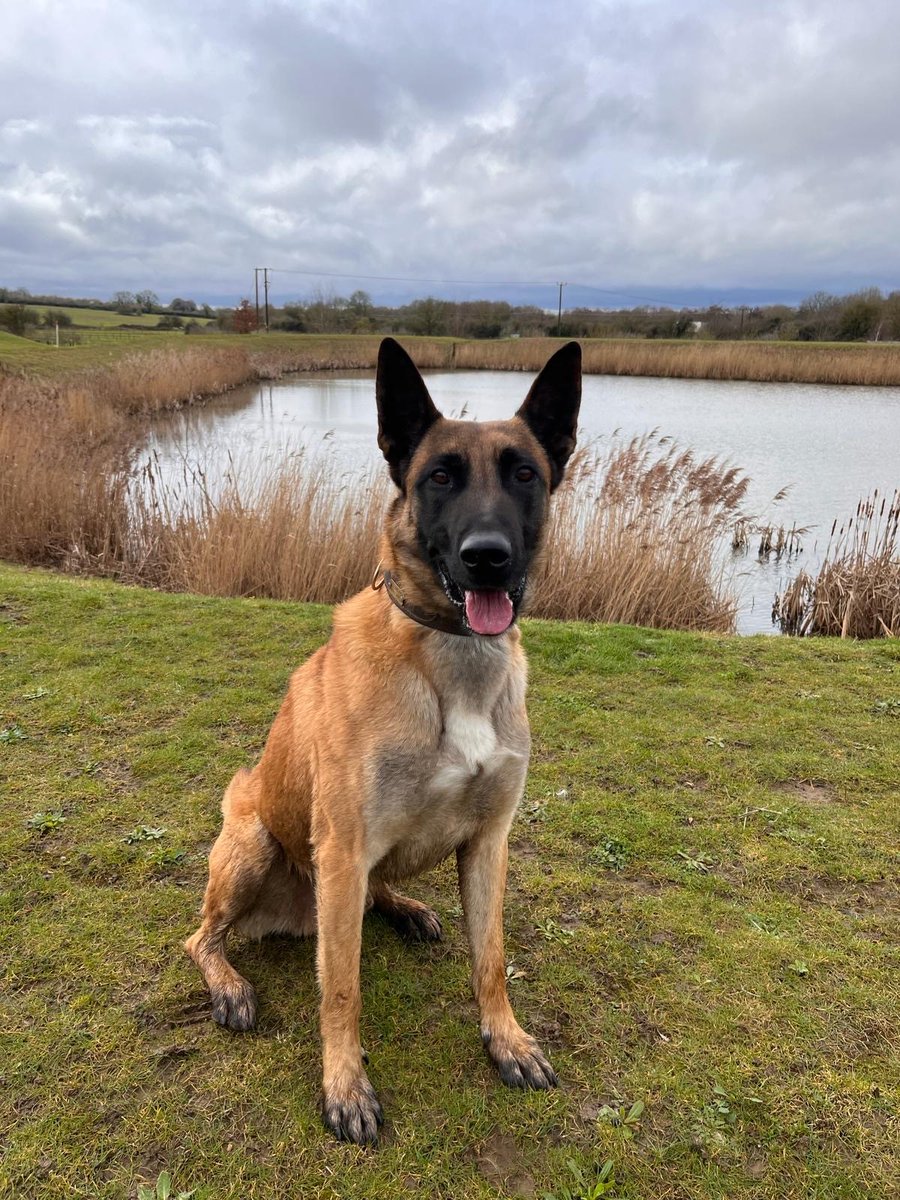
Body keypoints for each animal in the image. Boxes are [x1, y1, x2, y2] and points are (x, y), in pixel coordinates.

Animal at [184, 336, 585, 1142]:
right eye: (440, 477)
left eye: (524, 473)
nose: (487, 555)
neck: (450, 660)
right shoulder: (341, 849)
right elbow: (341, 990)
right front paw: (345, 1085)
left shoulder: (489, 842)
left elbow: (491, 958)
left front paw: (506, 1040)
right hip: (255, 843)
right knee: (200, 938)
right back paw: (230, 985)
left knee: (380, 891)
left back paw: (406, 908)